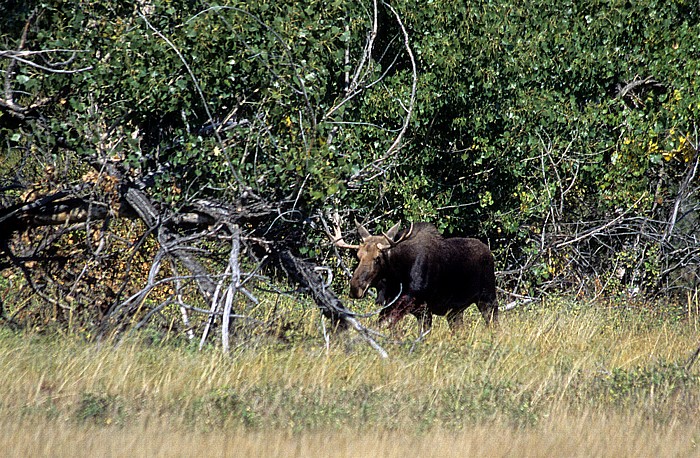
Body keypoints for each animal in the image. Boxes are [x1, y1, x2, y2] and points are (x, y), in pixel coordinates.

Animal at [334, 219, 498, 330]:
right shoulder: (393, 304)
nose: (355, 287)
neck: (397, 278)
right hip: (455, 312)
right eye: (358, 256)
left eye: (378, 258)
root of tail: (489, 253)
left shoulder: (423, 308)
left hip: (488, 299)